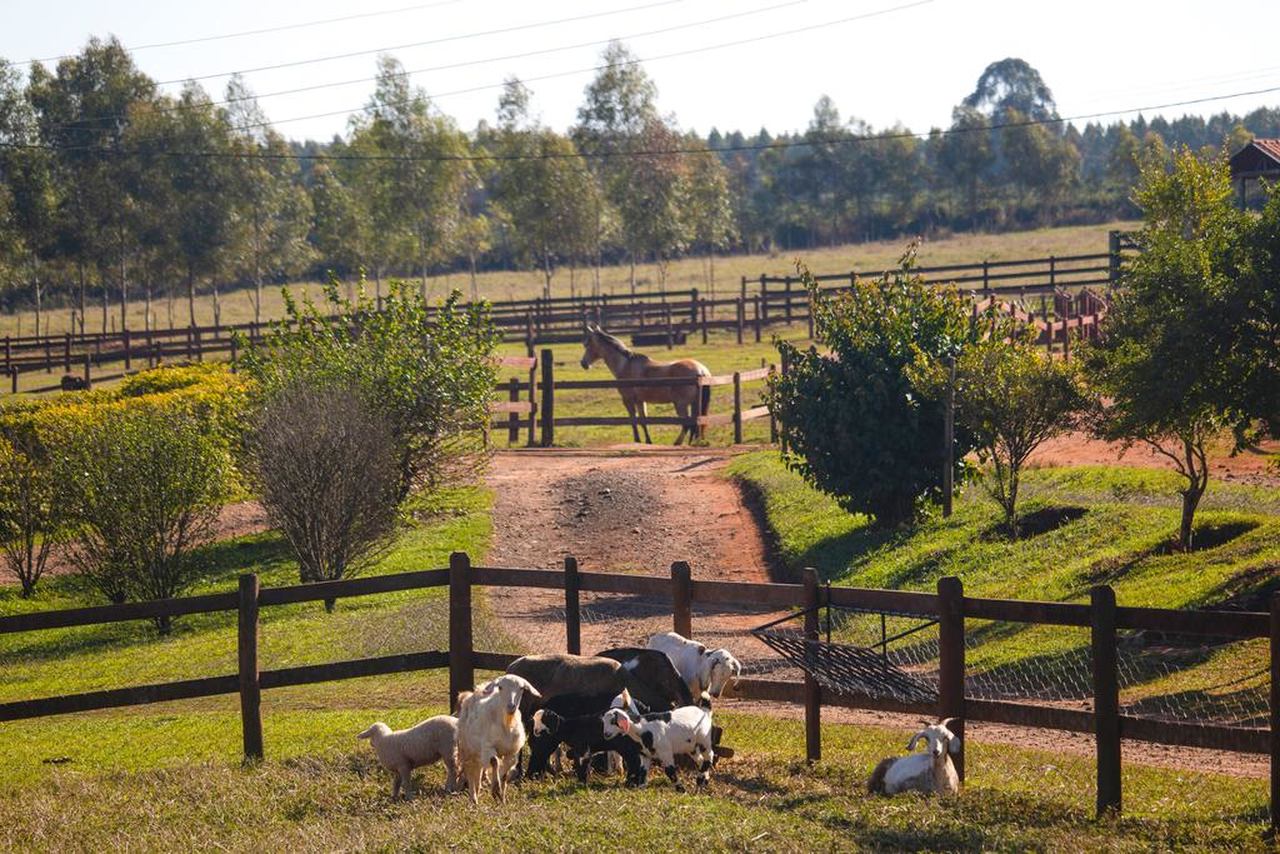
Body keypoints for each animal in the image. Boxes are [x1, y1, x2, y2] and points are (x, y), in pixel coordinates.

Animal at [455, 676, 540, 804]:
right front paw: (496, 789)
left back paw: (478, 792)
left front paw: (501, 796)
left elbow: (504, 773)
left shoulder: (511, 752)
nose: (511, 706)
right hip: (468, 749)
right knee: (470, 771)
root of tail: (476, 692)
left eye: (521, 688)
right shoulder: (488, 746)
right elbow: (494, 761)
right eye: (500, 687)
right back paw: (473, 799)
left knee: (478, 770)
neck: (507, 723)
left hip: (478, 752)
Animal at [581, 325, 711, 448]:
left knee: (687, 424)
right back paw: (693, 442)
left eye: (588, 344)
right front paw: (648, 441)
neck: (625, 365)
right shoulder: (640, 401)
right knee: (696, 423)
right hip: (694, 404)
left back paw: (677, 443)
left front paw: (637, 440)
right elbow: (643, 420)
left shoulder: (628, 400)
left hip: (681, 404)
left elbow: (633, 420)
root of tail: (701, 370)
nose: (583, 363)